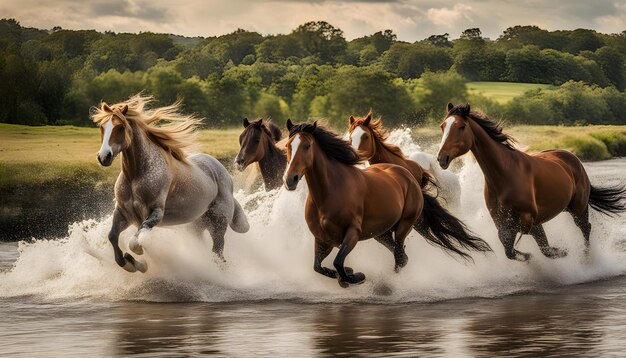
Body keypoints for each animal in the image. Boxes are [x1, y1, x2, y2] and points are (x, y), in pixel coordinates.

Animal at [92, 93, 249, 272]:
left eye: (120, 128)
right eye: (102, 127)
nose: (104, 157)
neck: (135, 176)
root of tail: (226, 177)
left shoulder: (155, 213)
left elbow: (135, 242)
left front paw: (139, 259)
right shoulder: (123, 213)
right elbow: (112, 237)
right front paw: (131, 264)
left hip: (218, 224)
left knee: (218, 254)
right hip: (197, 226)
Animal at [280, 120, 490, 288]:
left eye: (307, 145)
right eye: (289, 145)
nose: (290, 179)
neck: (329, 192)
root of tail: (409, 176)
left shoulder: (352, 234)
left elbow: (338, 262)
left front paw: (355, 276)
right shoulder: (322, 239)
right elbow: (318, 267)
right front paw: (347, 275)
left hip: (405, 224)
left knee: (400, 257)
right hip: (380, 233)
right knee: (401, 256)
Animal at [436, 102, 620, 262]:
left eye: (461, 127)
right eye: (443, 126)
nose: (441, 158)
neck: (504, 174)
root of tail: (573, 158)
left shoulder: (528, 217)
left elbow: (535, 243)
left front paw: (561, 251)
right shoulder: (501, 221)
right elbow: (509, 248)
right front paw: (528, 255)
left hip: (578, 208)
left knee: (585, 228)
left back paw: (587, 258)